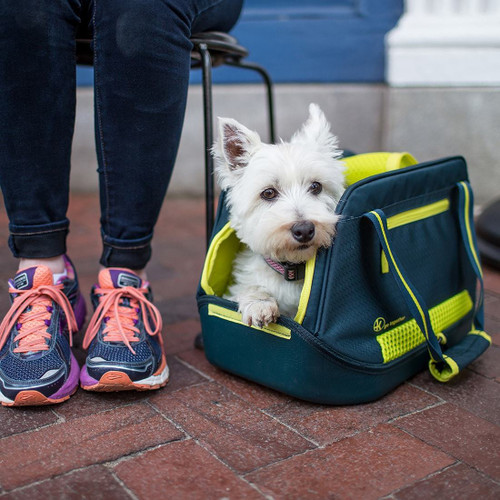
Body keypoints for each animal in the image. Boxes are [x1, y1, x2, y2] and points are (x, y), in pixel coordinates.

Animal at [213, 103, 346, 328]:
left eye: (316, 186)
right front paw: (260, 305)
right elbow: (250, 288)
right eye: (268, 193)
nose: (304, 230)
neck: (290, 269)